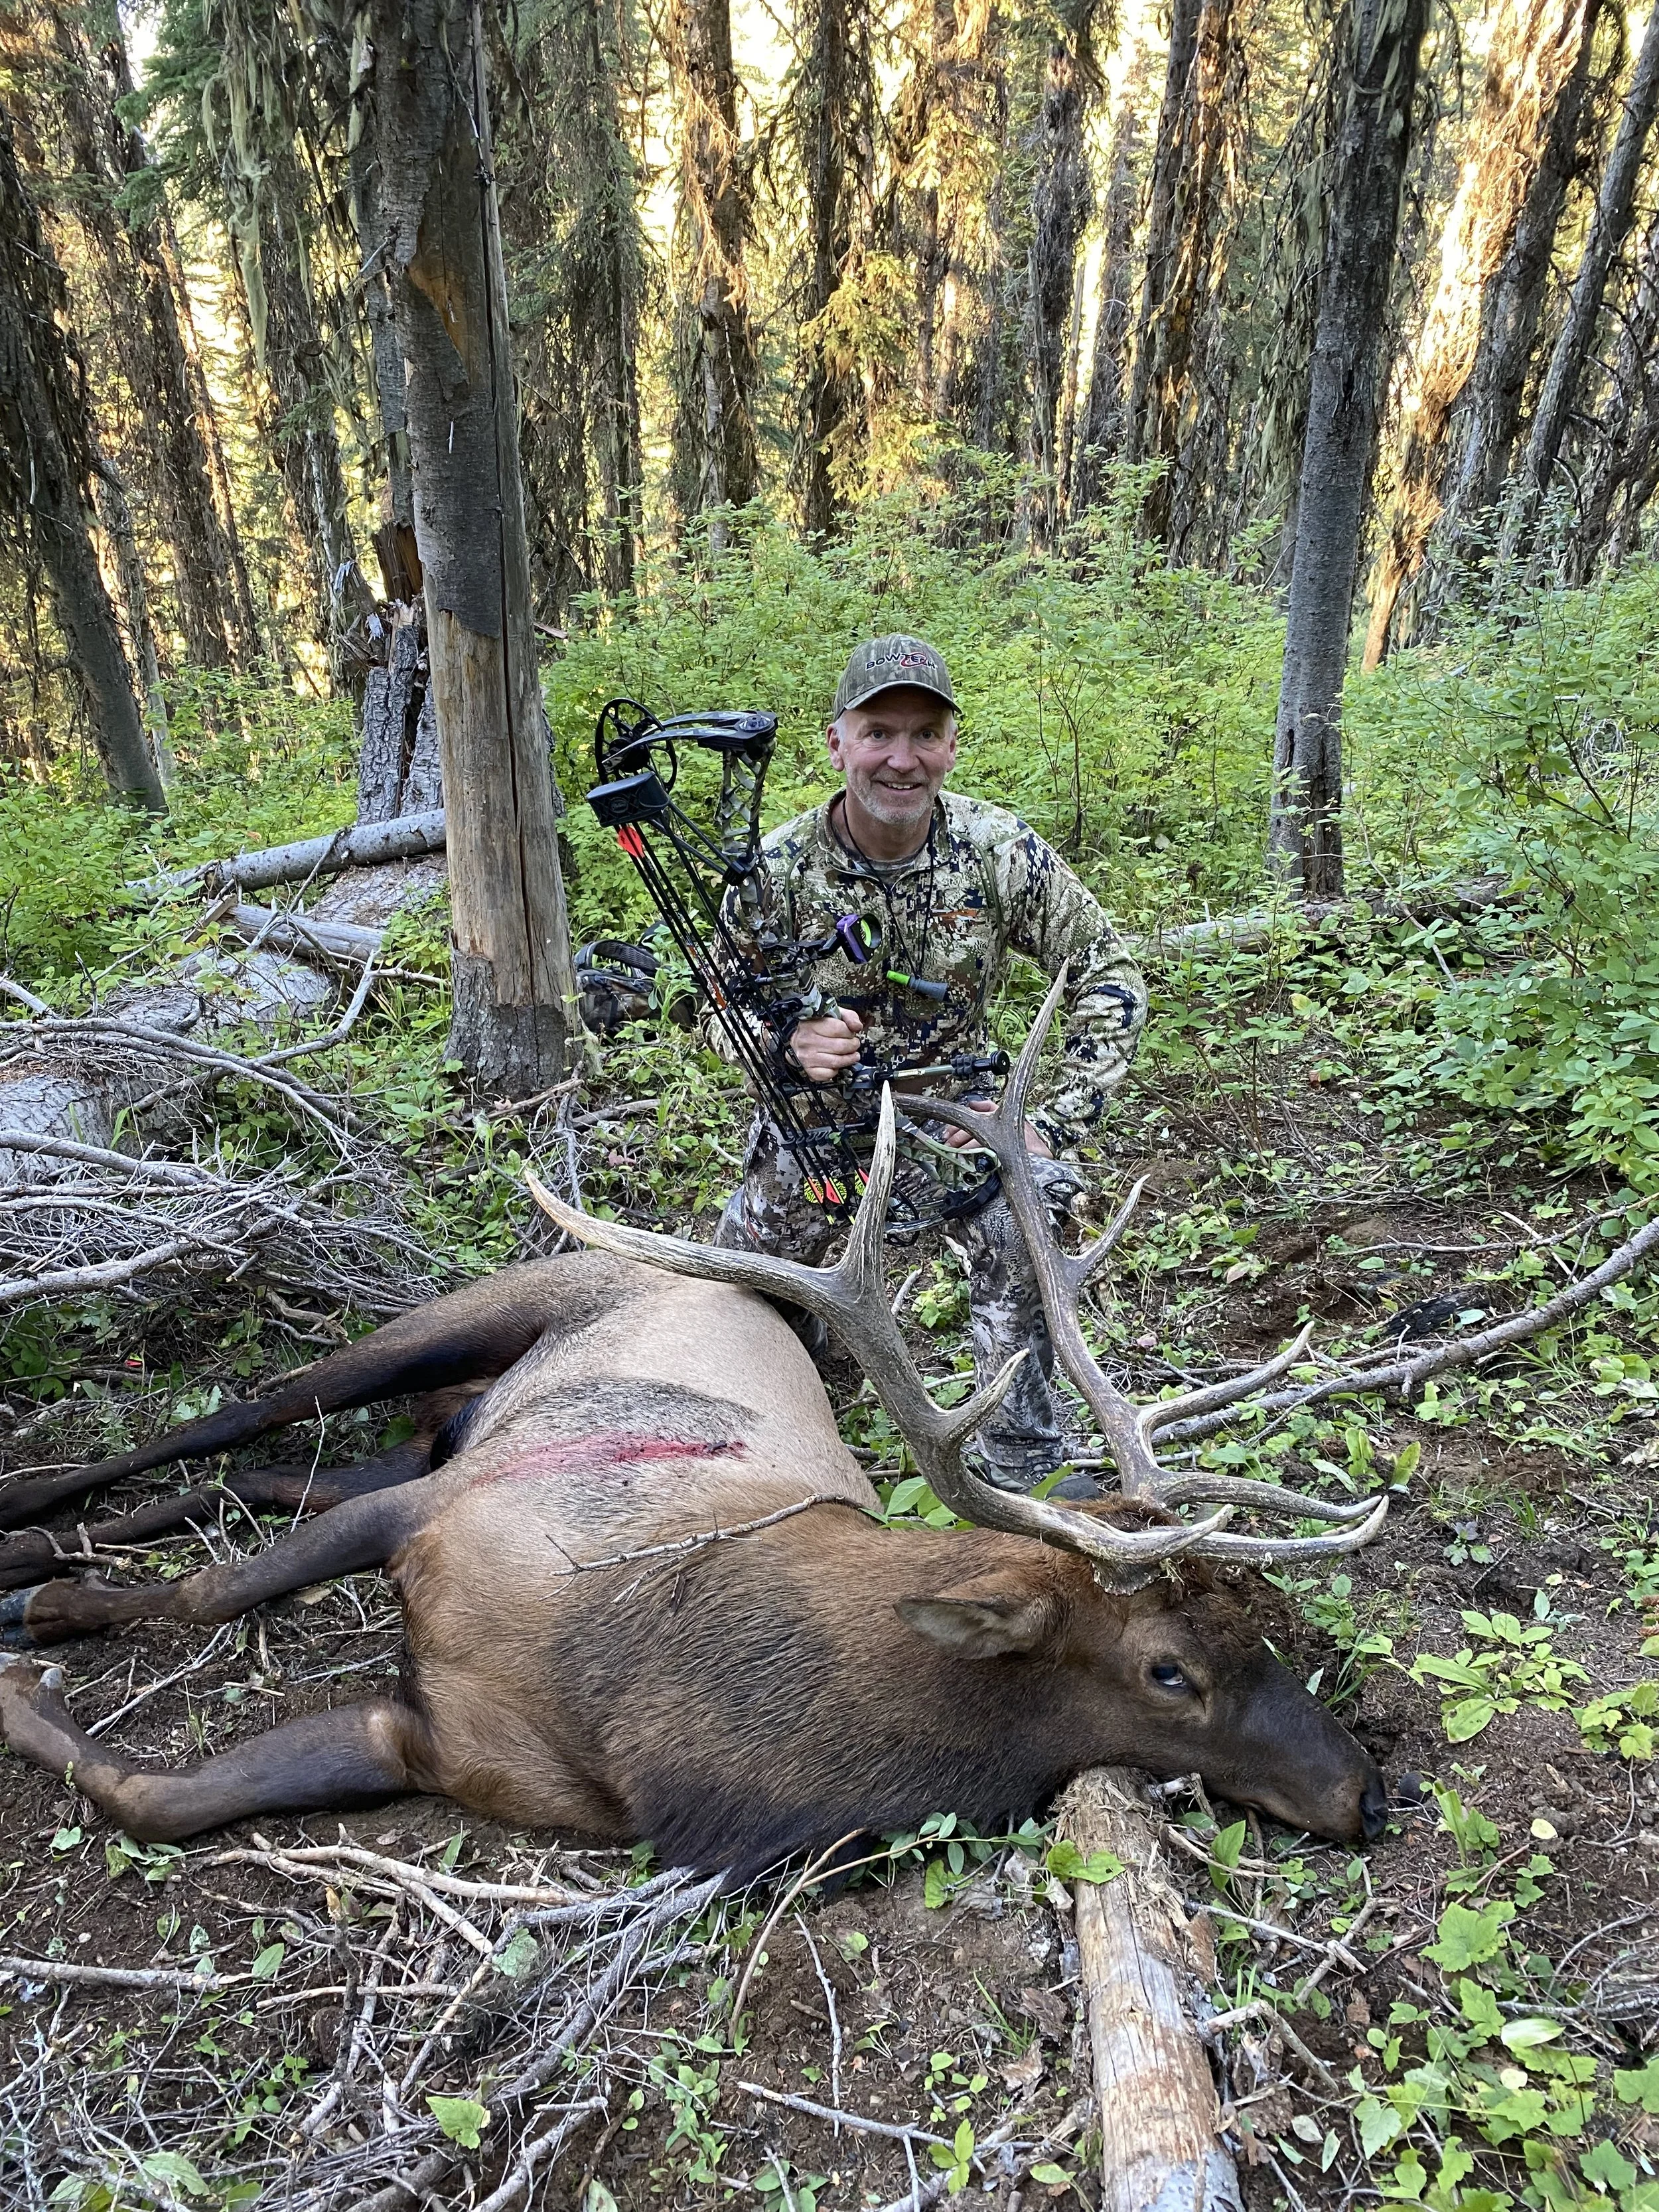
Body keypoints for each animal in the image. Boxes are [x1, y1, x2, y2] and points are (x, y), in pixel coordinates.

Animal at [0, 975, 1391, 1875]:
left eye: (1270, 1621)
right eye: (1170, 1669)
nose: (1365, 1790)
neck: (651, 1705)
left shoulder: (445, 1743)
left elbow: (151, 1794)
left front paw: (39, 1666)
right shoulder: (441, 1517)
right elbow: (205, 1597)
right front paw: (46, 1631)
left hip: (443, 1430)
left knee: (279, 1476)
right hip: (476, 1321)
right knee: (237, 1417)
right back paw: (26, 1529)